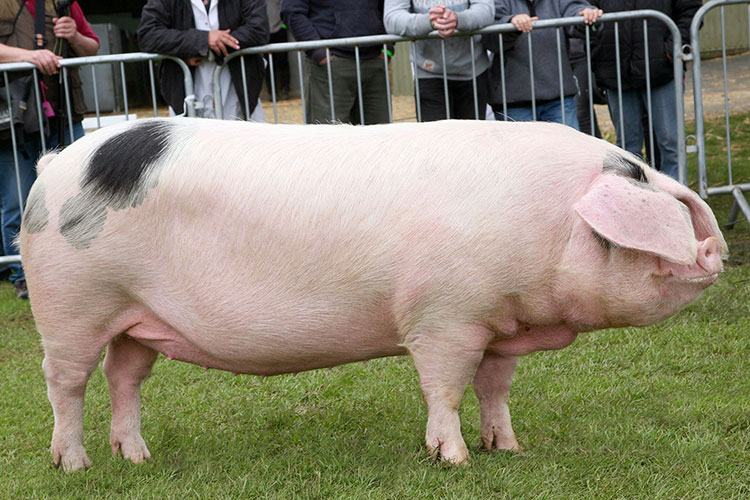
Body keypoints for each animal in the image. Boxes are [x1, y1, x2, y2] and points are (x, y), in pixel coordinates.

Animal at [19, 118, 726, 472]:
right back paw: (75, 466)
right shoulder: (444, 316)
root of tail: (52, 165)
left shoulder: (498, 324)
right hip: (71, 303)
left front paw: (509, 448)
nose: (714, 250)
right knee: (65, 382)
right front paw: (455, 461)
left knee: (125, 377)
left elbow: (495, 389)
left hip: (136, 317)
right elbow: (444, 387)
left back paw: (137, 460)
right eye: (636, 182)